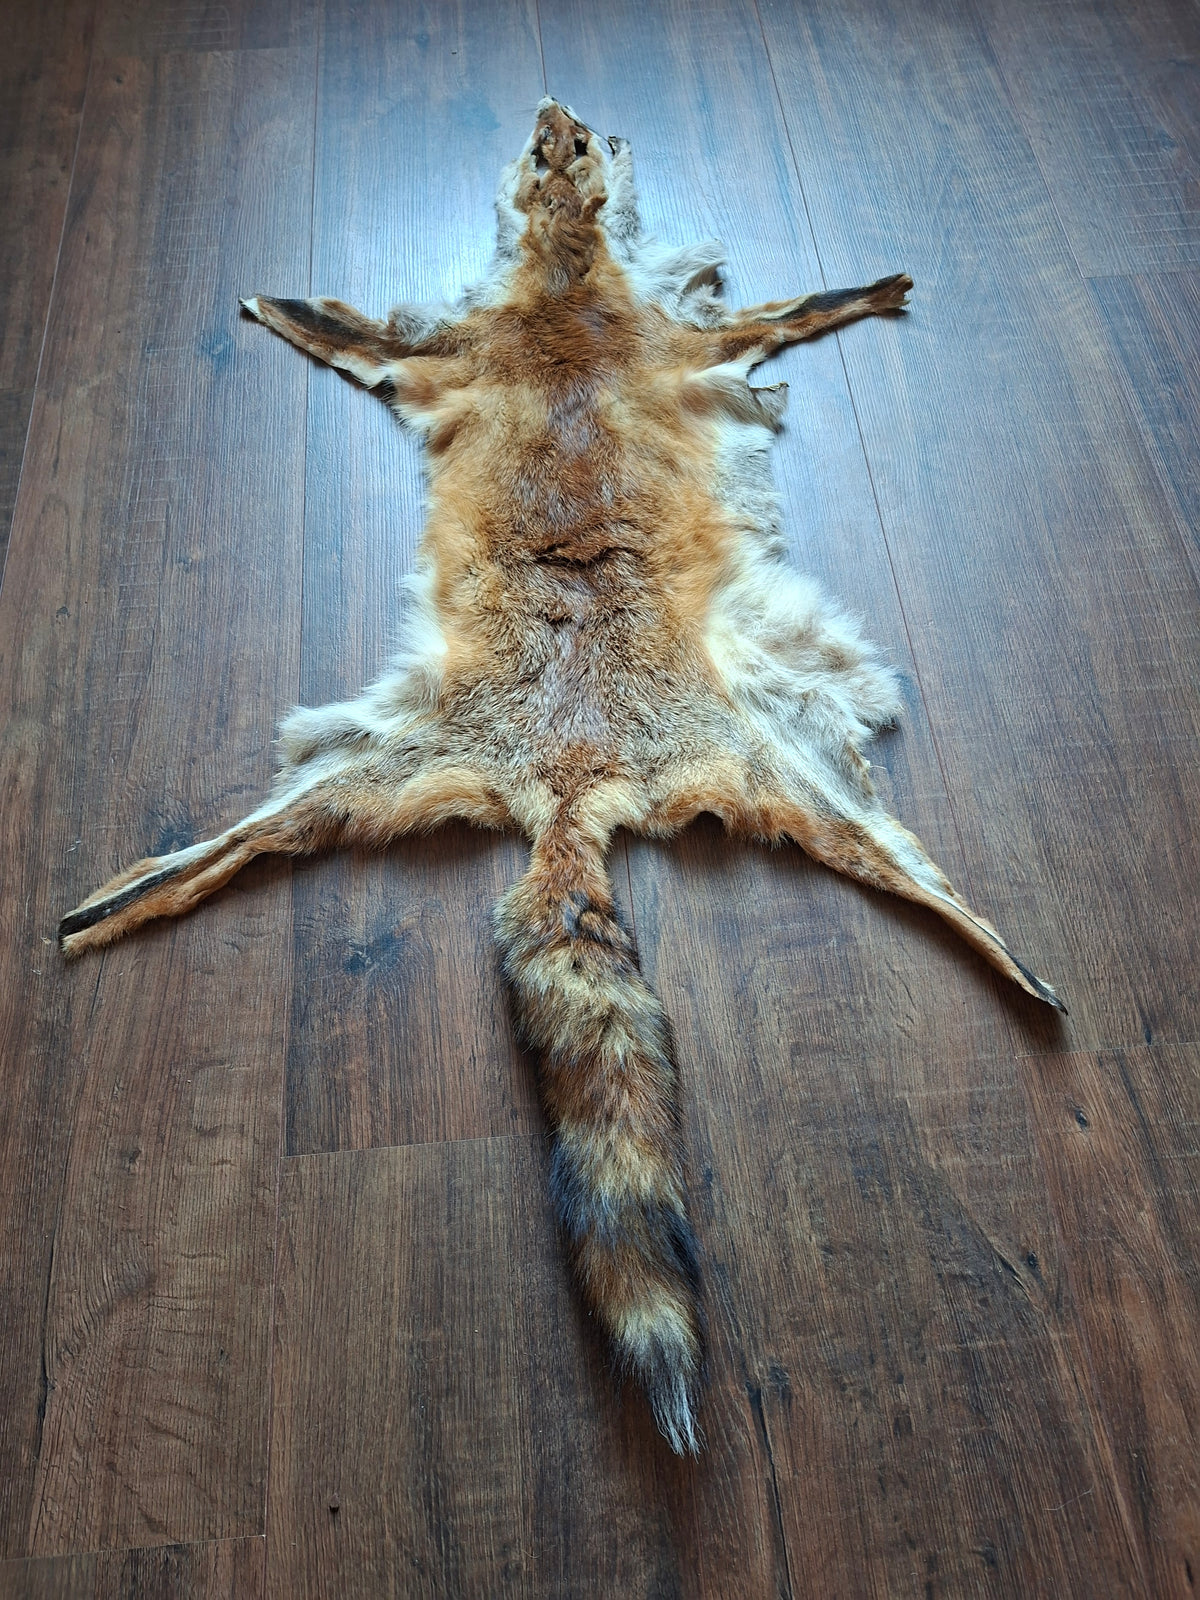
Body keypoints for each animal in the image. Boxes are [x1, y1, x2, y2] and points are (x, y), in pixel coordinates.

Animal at [60, 98, 1063, 1455]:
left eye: (578, 145)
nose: (554, 108)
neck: (566, 295)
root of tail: (573, 787)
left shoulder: (642, 341)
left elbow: (794, 306)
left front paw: (867, 287)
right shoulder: (484, 348)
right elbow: (350, 326)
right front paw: (278, 304)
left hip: (731, 782)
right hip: (421, 773)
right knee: (214, 852)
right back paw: (99, 907)